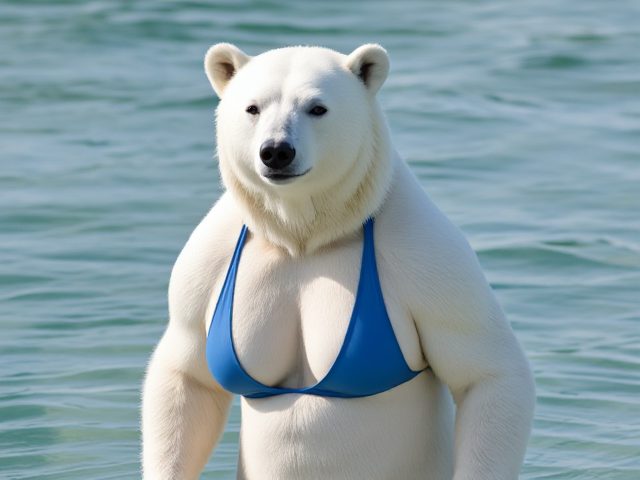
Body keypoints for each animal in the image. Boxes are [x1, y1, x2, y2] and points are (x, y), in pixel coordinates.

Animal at [141, 43, 535, 480]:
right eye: (253, 108)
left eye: (317, 107)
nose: (276, 151)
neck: (307, 237)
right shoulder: (207, 260)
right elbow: (188, 371)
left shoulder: (426, 252)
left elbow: (488, 373)